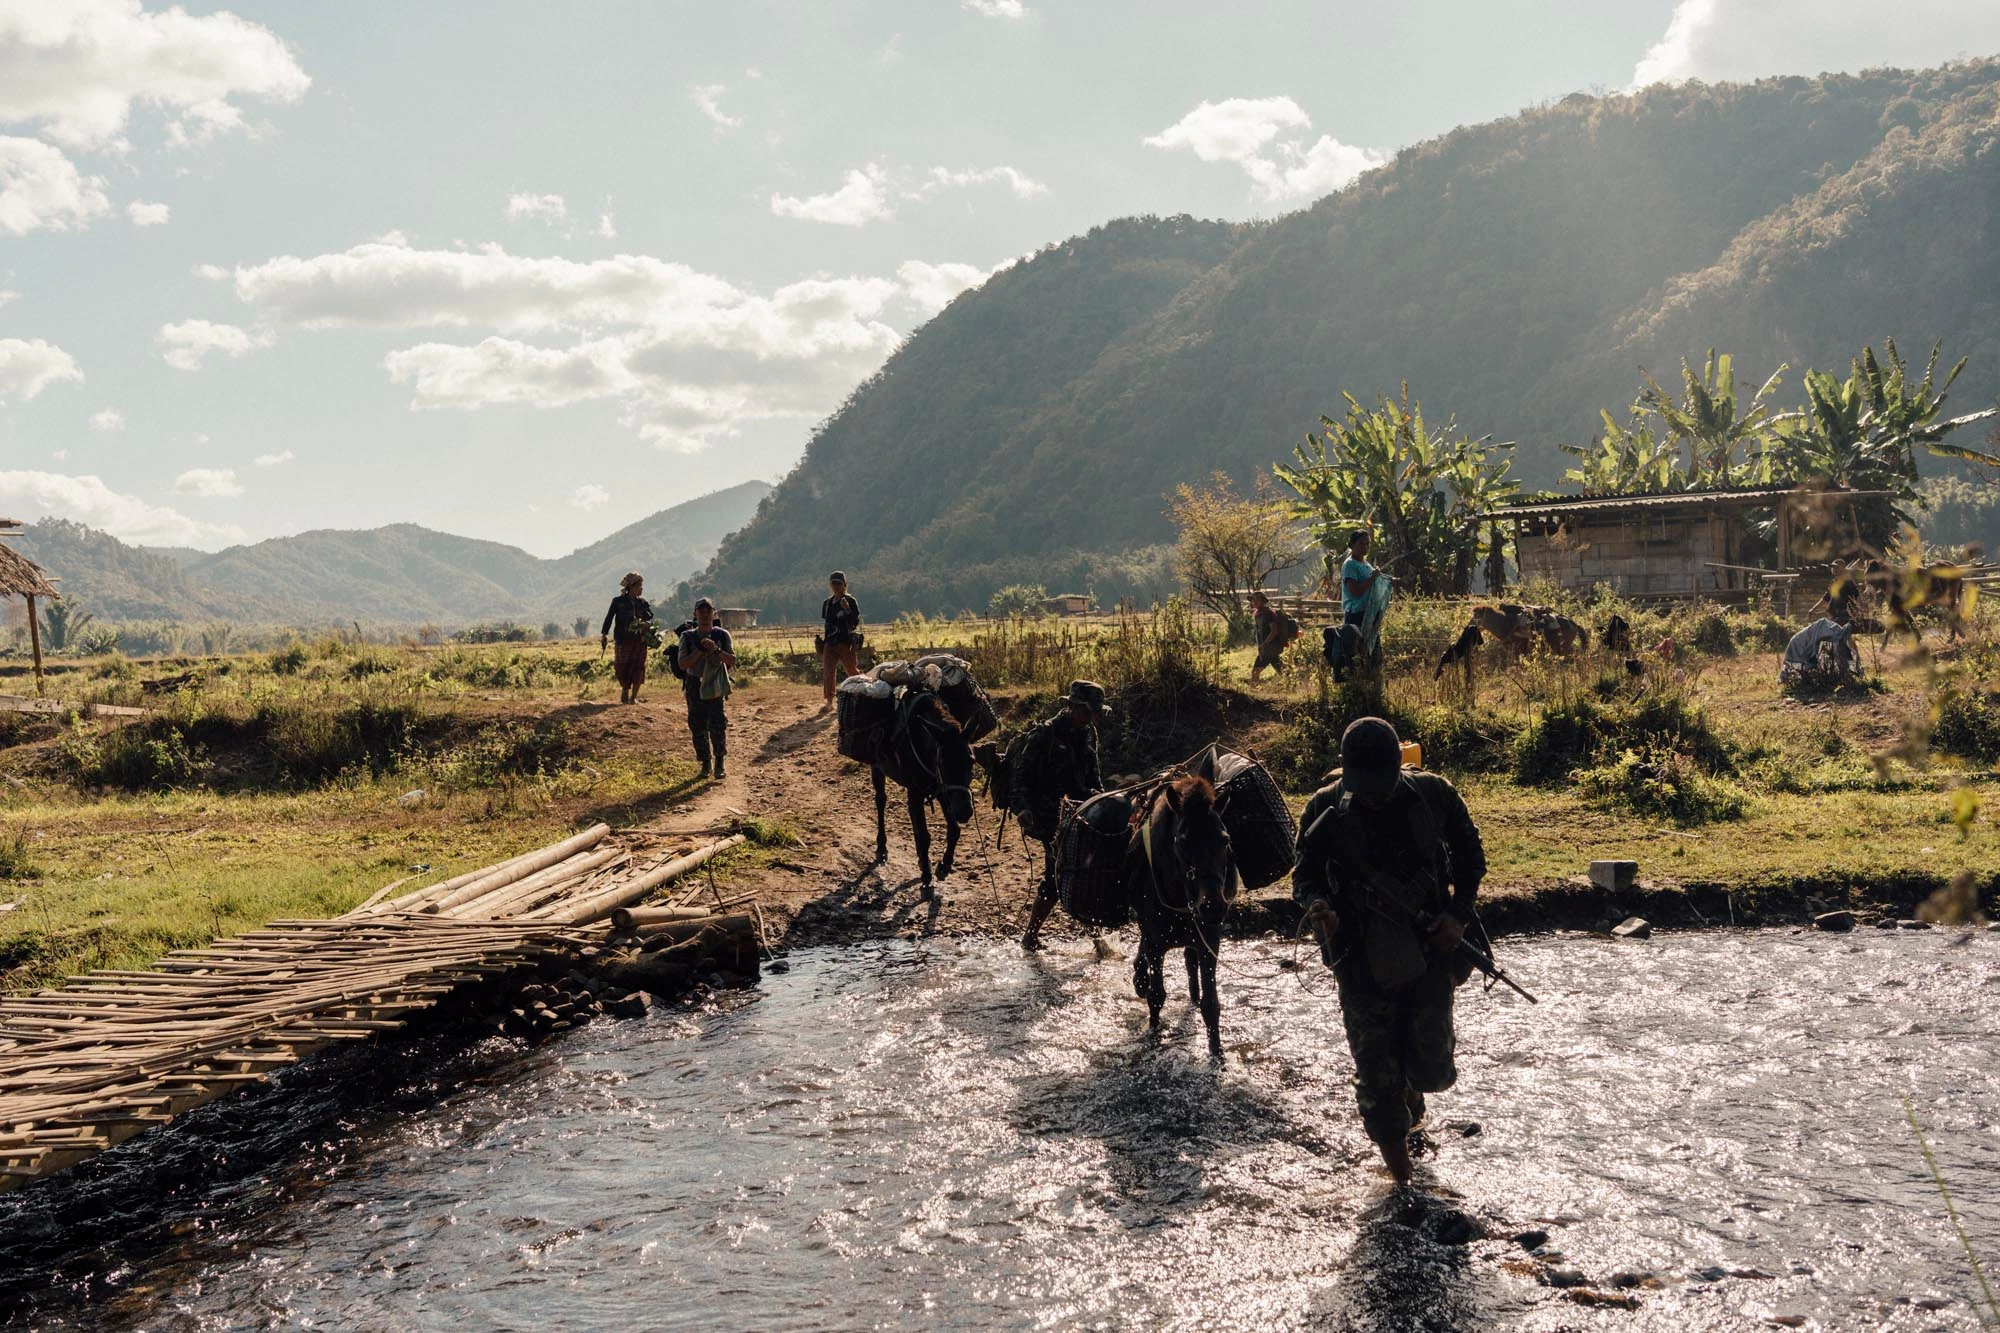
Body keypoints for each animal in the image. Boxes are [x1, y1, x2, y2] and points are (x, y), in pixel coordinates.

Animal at [1128, 768, 1232, 1056]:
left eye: (1225, 840)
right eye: (1183, 842)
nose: (1212, 906)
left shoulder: (1209, 942)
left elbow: (1211, 1004)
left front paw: (1217, 1052)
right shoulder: (1155, 943)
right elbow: (1156, 997)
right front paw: (1153, 1035)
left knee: (1189, 959)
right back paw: (1139, 978)